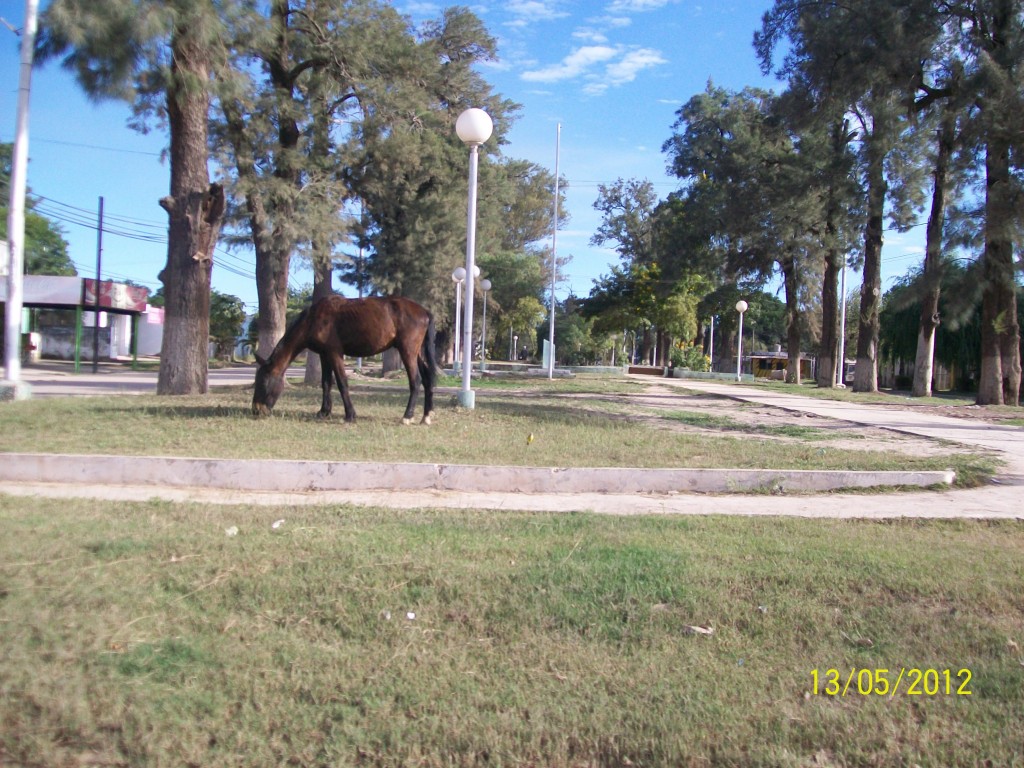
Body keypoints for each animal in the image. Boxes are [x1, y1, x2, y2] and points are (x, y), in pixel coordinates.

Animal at [253, 296, 438, 428]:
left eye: (262, 382)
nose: (256, 409)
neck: (314, 319)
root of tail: (424, 311)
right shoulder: (324, 355)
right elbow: (326, 383)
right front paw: (324, 412)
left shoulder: (335, 354)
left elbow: (342, 383)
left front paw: (350, 415)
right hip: (417, 354)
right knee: (427, 380)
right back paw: (426, 416)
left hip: (407, 351)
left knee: (415, 381)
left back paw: (407, 416)